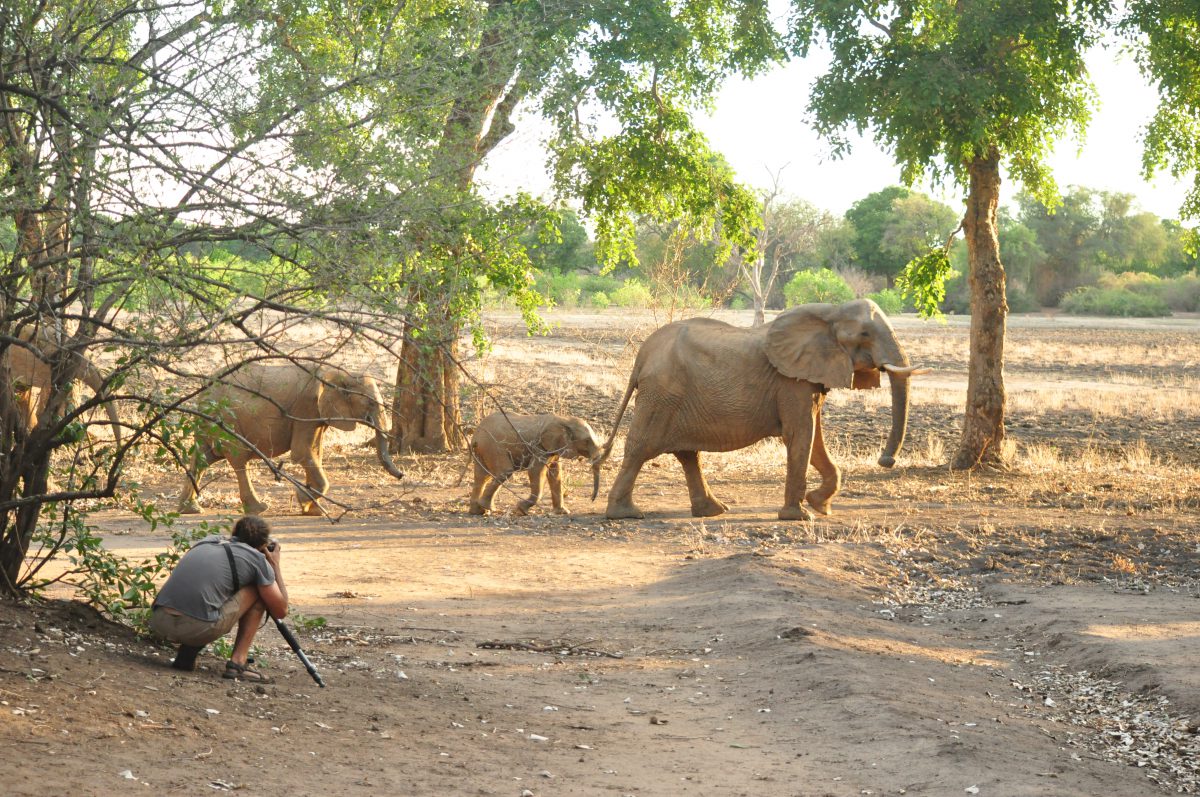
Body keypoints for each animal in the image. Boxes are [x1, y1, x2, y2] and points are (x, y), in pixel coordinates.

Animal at [175, 362, 405, 516]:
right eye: (370, 404)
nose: (402, 475)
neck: (337, 372)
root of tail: (203, 390)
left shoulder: (316, 415)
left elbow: (315, 453)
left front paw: (312, 510)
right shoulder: (306, 408)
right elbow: (303, 453)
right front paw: (302, 499)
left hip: (211, 419)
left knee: (203, 458)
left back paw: (190, 509)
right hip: (226, 417)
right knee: (238, 458)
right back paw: (258, 509)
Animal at [465, 410, 604, 516]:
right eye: (587, 441)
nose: (592, 499)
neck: (564, 419)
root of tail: (476, 435)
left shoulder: (553, 447)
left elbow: (555, 473)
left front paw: (563, 512)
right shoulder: (539, 446)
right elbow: (536, 471)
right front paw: (521, 510)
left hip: (482, 450)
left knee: (481, 477)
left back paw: (478, 511)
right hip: (494, 447)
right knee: (504, 471)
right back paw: (489, 508)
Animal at [600, 298, 926, 523]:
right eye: (864, 334)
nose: (886, 460)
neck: (830, 312)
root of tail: (642, 356)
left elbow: (815, 438)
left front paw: (821, 506)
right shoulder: (790, 382)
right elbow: (801, 436)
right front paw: (801, 517)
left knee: (687, 454)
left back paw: (713, 511)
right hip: (661, 394)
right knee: (641, 448)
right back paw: (625, 513)